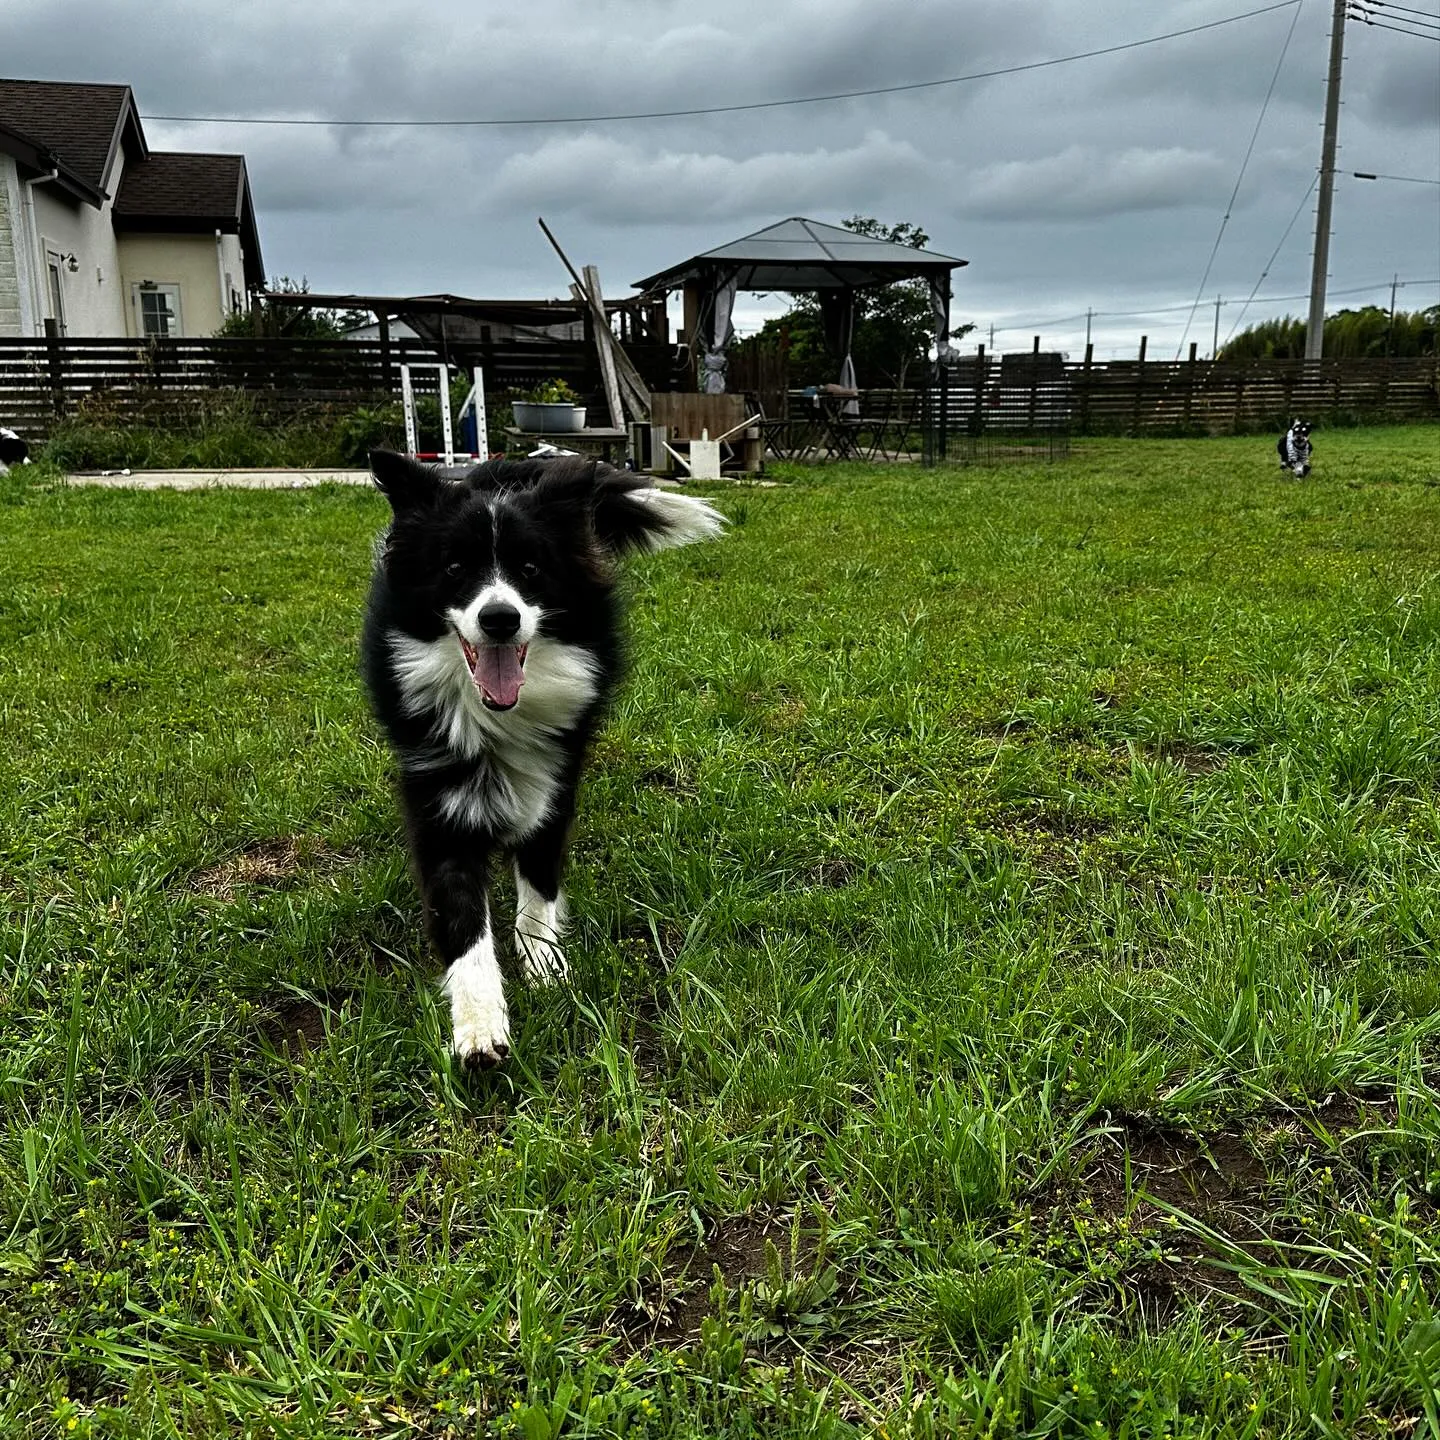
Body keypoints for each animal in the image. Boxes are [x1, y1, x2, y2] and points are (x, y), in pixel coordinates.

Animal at [360, 452, 720, 1071]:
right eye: (454, 567)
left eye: (531, 568)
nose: (500, 618)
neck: (497, 716)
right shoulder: (436, 794)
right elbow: (460, 911)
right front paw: (480, 1026)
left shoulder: (557, 774)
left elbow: (540, 870)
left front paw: (544, 963)